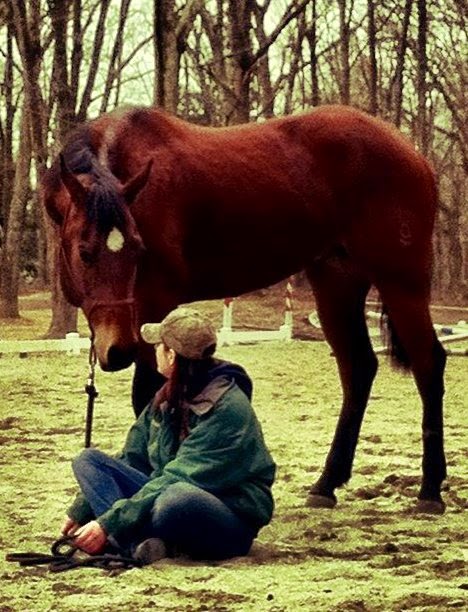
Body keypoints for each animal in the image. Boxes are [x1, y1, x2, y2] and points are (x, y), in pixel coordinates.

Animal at [41, 105, 447, 514]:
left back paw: (429, 490)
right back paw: (326, 484)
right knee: (358, 368)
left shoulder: (156, 307)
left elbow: (149, 396)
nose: (118, 349)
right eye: (85, 252)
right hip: (337, 283)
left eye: (138, 250)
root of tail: (413, 154)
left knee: (428, 363)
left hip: (402, 281)